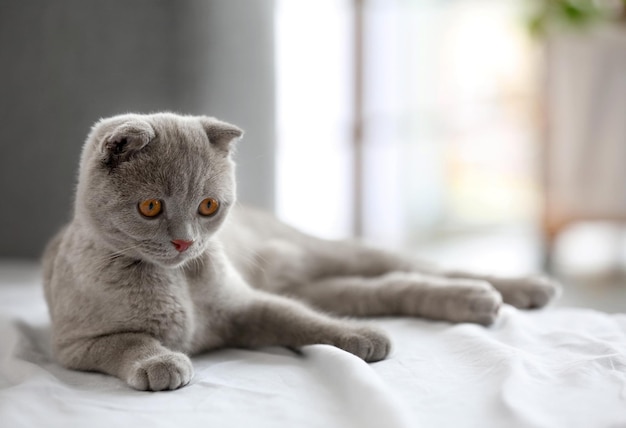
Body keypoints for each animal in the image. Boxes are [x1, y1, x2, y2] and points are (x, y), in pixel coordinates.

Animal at [42, 113, 560, 392]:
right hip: (331, 284)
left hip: (333, 254)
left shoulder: (245, 307)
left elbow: (301, 320)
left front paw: (360, 338)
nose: (186, 241)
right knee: (388, 288)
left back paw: (524, 288)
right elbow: (129, 341)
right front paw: (161, 362)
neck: (180, 281)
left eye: (208, 206)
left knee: (415, 266)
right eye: (150, 207)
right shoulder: (76, 344)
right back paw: (480, 300)